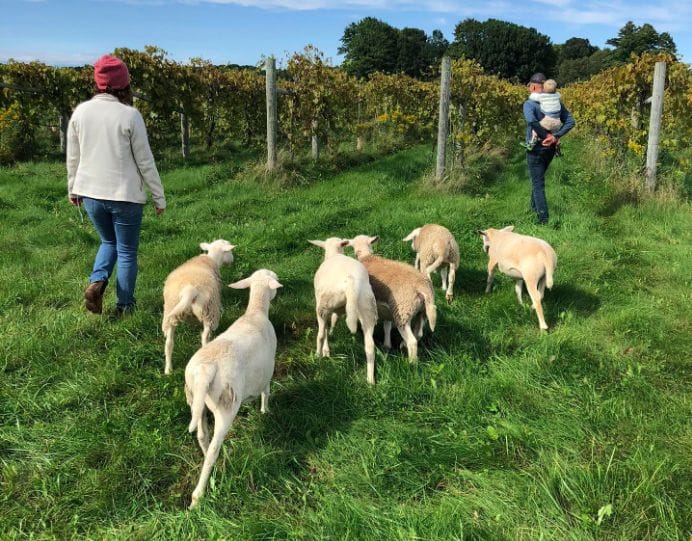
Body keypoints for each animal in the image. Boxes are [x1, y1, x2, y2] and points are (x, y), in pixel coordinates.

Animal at [162, 240, 235, 376]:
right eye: (229, 251)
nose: (232, 260)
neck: (212, 258)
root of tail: (189, 290)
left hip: (170, 311)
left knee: (169, 343)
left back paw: (168, 370)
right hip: (209, 312)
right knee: (204, 338)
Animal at [185, 268, 282, 508]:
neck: (255, 312)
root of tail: (206, 371)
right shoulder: (268, 369)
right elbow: (266, 391)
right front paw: (265, 411)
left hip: (194, 399)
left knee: (202, 436)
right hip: (226, 405)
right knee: (214, 448)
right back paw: (198, 496)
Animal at [310, 237, 382, 384]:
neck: (334, 253)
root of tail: (351, 282)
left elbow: (326, 329)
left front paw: (326, 350)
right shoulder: (337, 310)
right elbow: (334, 320)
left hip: (323, 305)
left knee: (320, 333)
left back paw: (317, 355)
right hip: (368, 308)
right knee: (370, 346)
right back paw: (370, 380)